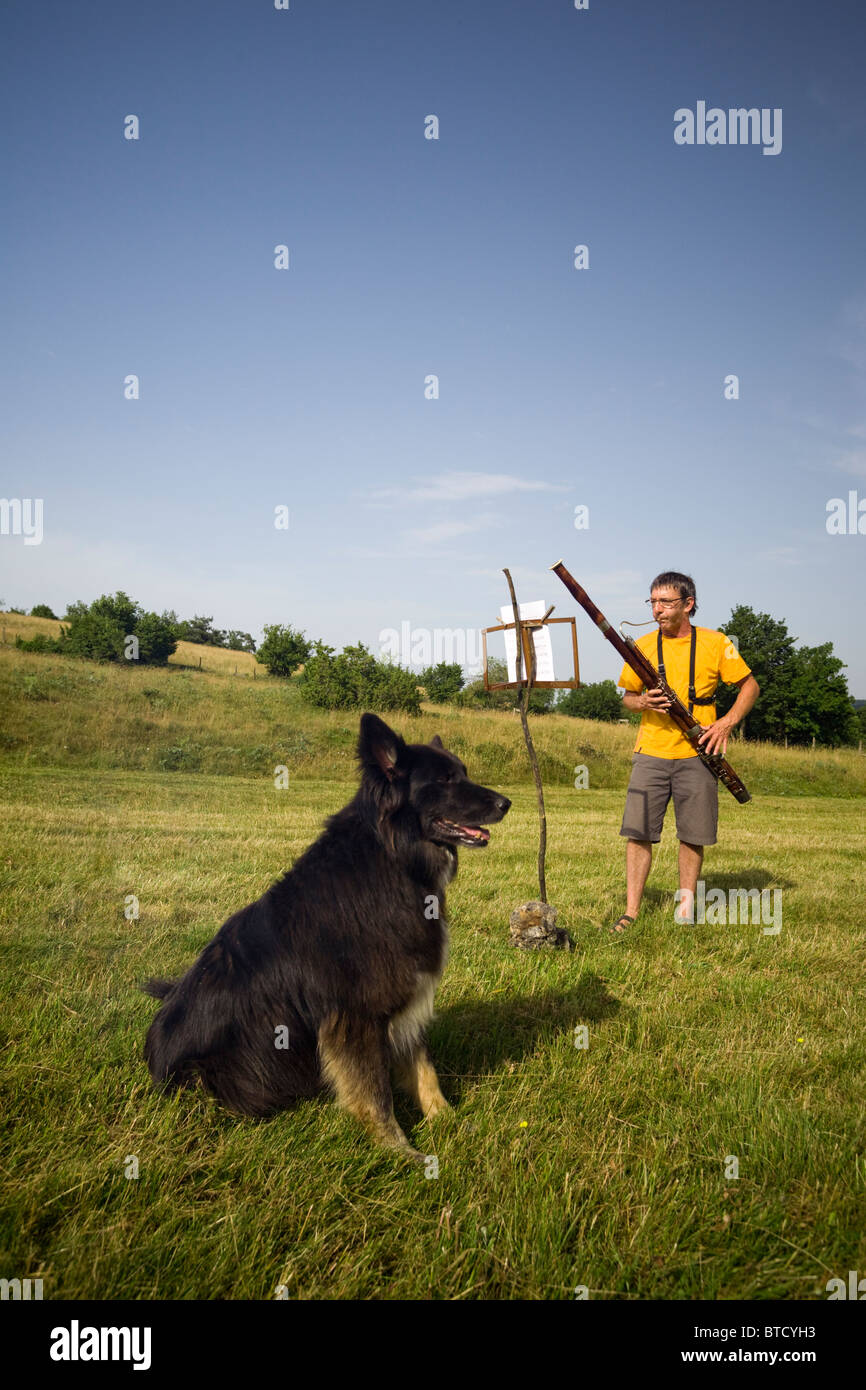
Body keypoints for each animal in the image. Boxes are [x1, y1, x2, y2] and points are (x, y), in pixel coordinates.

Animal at [141, 711, 508, 1156]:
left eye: (463, 773)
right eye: (445, 780)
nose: (507, 803)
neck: (394, 858)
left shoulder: (405, 997)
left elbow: (424, 1068)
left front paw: (448, 1121)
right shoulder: (356, 1016)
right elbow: (374, 1091)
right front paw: (398, 1150)